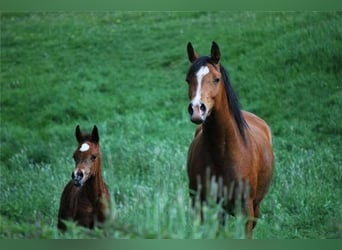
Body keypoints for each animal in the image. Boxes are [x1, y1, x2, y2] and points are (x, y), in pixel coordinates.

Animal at [184, 41, 276, 238]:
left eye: (216, 79)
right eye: (188, 79)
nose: (197, 109)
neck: (222, 152)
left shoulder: (246, 210)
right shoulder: (199, 205)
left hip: (255, 207)